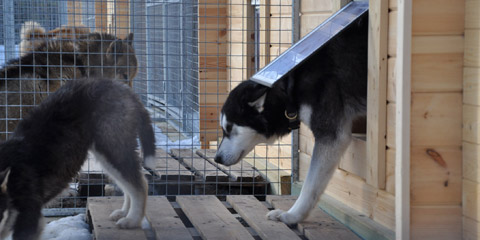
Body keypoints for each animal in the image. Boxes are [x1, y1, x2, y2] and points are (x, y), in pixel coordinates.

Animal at [0, 78, 156, 239]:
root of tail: (121, 86)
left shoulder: (29, 217)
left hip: (113, 149)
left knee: (140, 184)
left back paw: (132, 220)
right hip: (107, 156)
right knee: (129, 184)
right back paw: (124, 212)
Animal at [214, 13, 368, 225]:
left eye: (228, 128)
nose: (217, 158)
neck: (289, 91)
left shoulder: (331, 137)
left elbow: (310, 186)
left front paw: (292, 216)